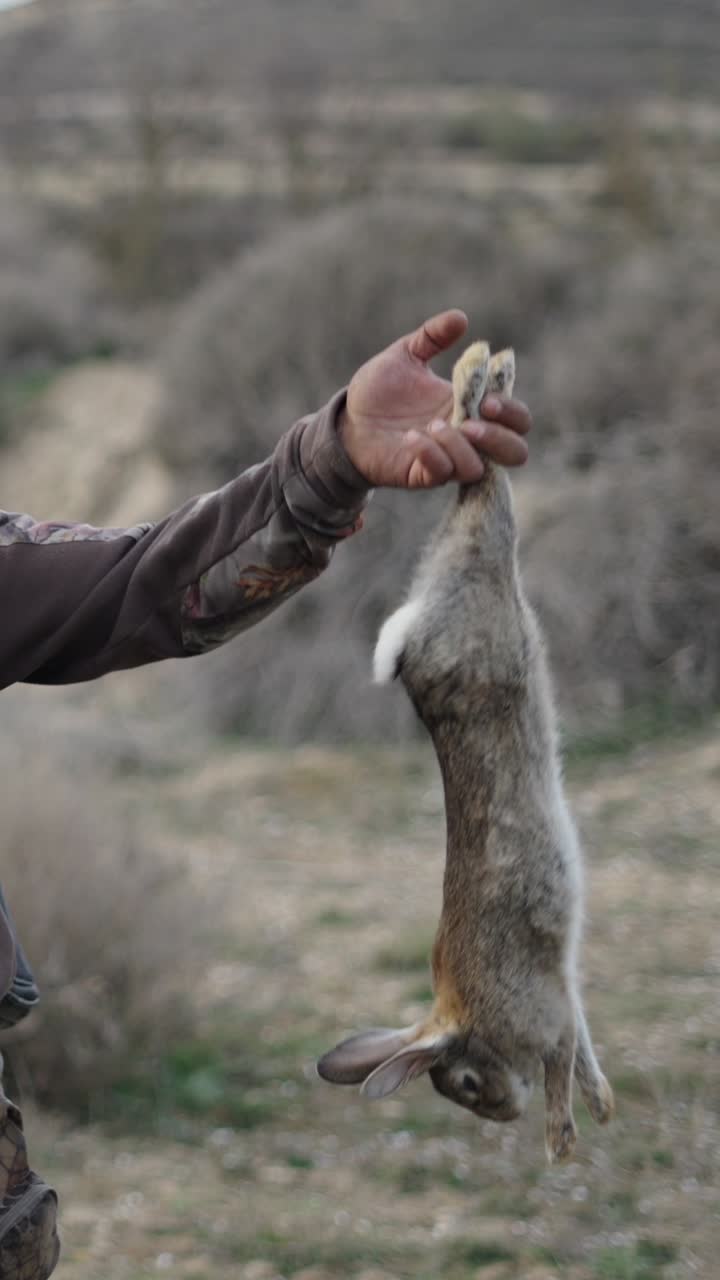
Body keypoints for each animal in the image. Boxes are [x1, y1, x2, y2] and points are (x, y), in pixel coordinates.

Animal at [317, 343, 614, 1162]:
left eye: (467, 1084)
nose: (505, 1113)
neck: (468, 1015)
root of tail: (414, 638)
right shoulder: (560, 996)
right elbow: (579, 1044)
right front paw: (592, 1116)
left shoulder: (545, 1013)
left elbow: (561, 1057)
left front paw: (562, 1136)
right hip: (488, 591)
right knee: (480, 488)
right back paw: (490, 369)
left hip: (482, 603)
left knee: (477, 481)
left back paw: (478, 373)